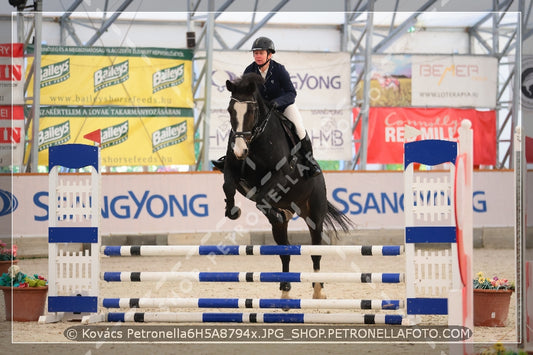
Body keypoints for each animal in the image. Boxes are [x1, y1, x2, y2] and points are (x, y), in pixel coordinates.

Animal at [219, 72, 354, 300]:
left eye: (252, 111)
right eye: (230, 110)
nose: (240, 150)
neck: (256, 141)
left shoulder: (281, 177)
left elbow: (262, 198)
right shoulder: (233, 171)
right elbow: (229, 187)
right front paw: (233, 211)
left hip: (314, 215)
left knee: (316, 250)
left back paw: (318, 290)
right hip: (282, 227)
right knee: (285, 251)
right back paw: (285, 291)